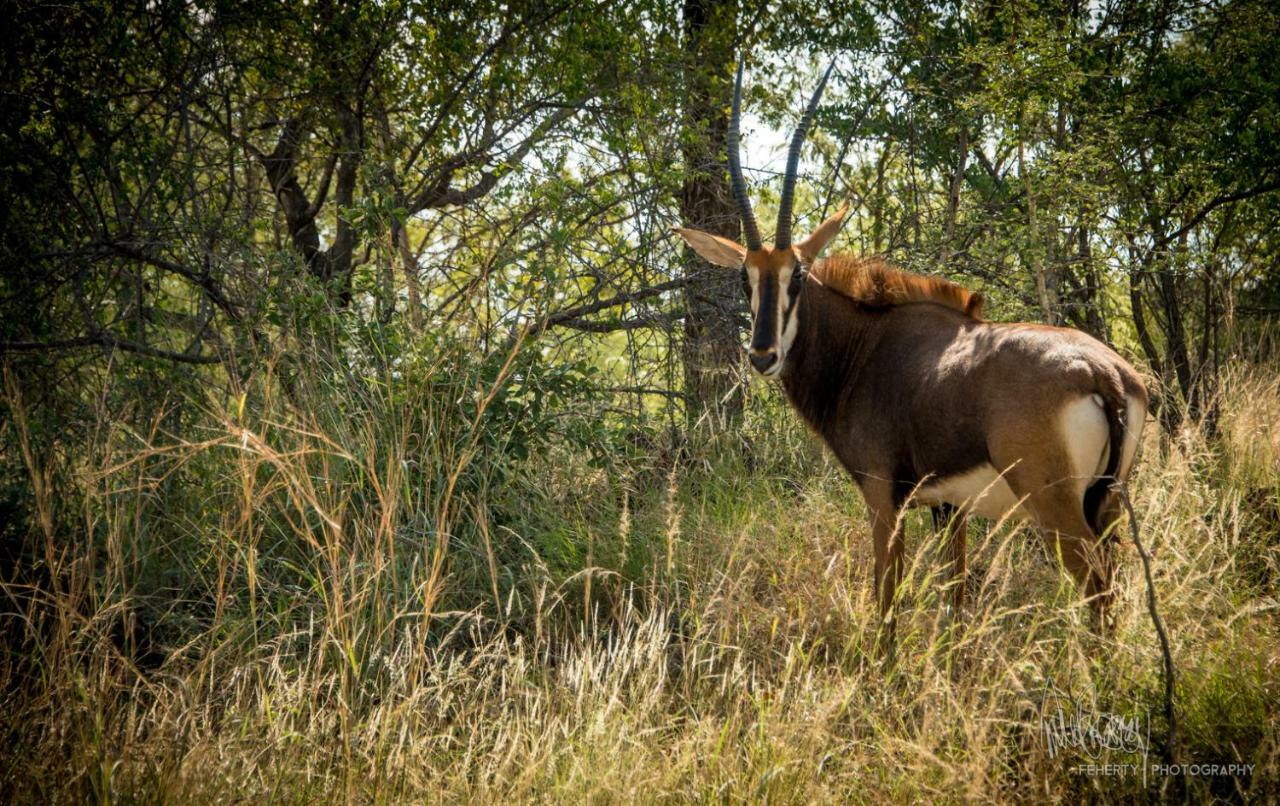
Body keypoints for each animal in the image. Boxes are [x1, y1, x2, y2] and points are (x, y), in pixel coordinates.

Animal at [680, 63, 1152, 632]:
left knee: (1098, 593)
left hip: (1057, 509)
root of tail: (1105, 375)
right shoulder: (948, 508)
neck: (862, 347)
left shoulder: (884, 499)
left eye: (798, 273)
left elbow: (887, 604)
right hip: (1106, 505)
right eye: (745, 278)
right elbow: (957, 606)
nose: (763, 356)